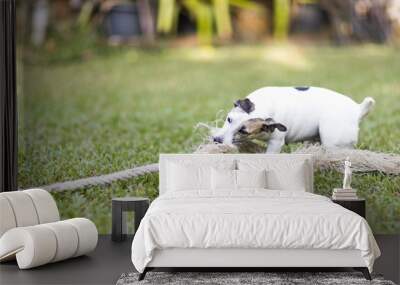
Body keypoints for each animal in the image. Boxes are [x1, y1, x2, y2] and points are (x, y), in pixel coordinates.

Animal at [212, 86, 376, 153]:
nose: (217, 140)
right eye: (228, 119)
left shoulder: (275, 143)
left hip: (334, 143)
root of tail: (357, 109)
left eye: (243, 131)